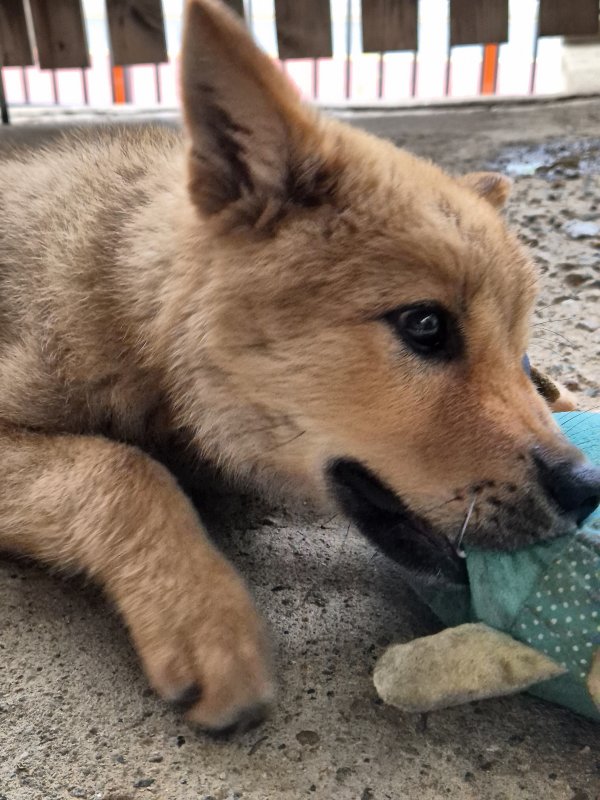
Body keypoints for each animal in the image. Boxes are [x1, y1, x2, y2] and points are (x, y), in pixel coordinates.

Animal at [1, 0, 600, 736]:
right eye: (425, 325)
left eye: (516, 344)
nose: (588, 489)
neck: (135, 303)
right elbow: (121, 468)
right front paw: (207, 617)